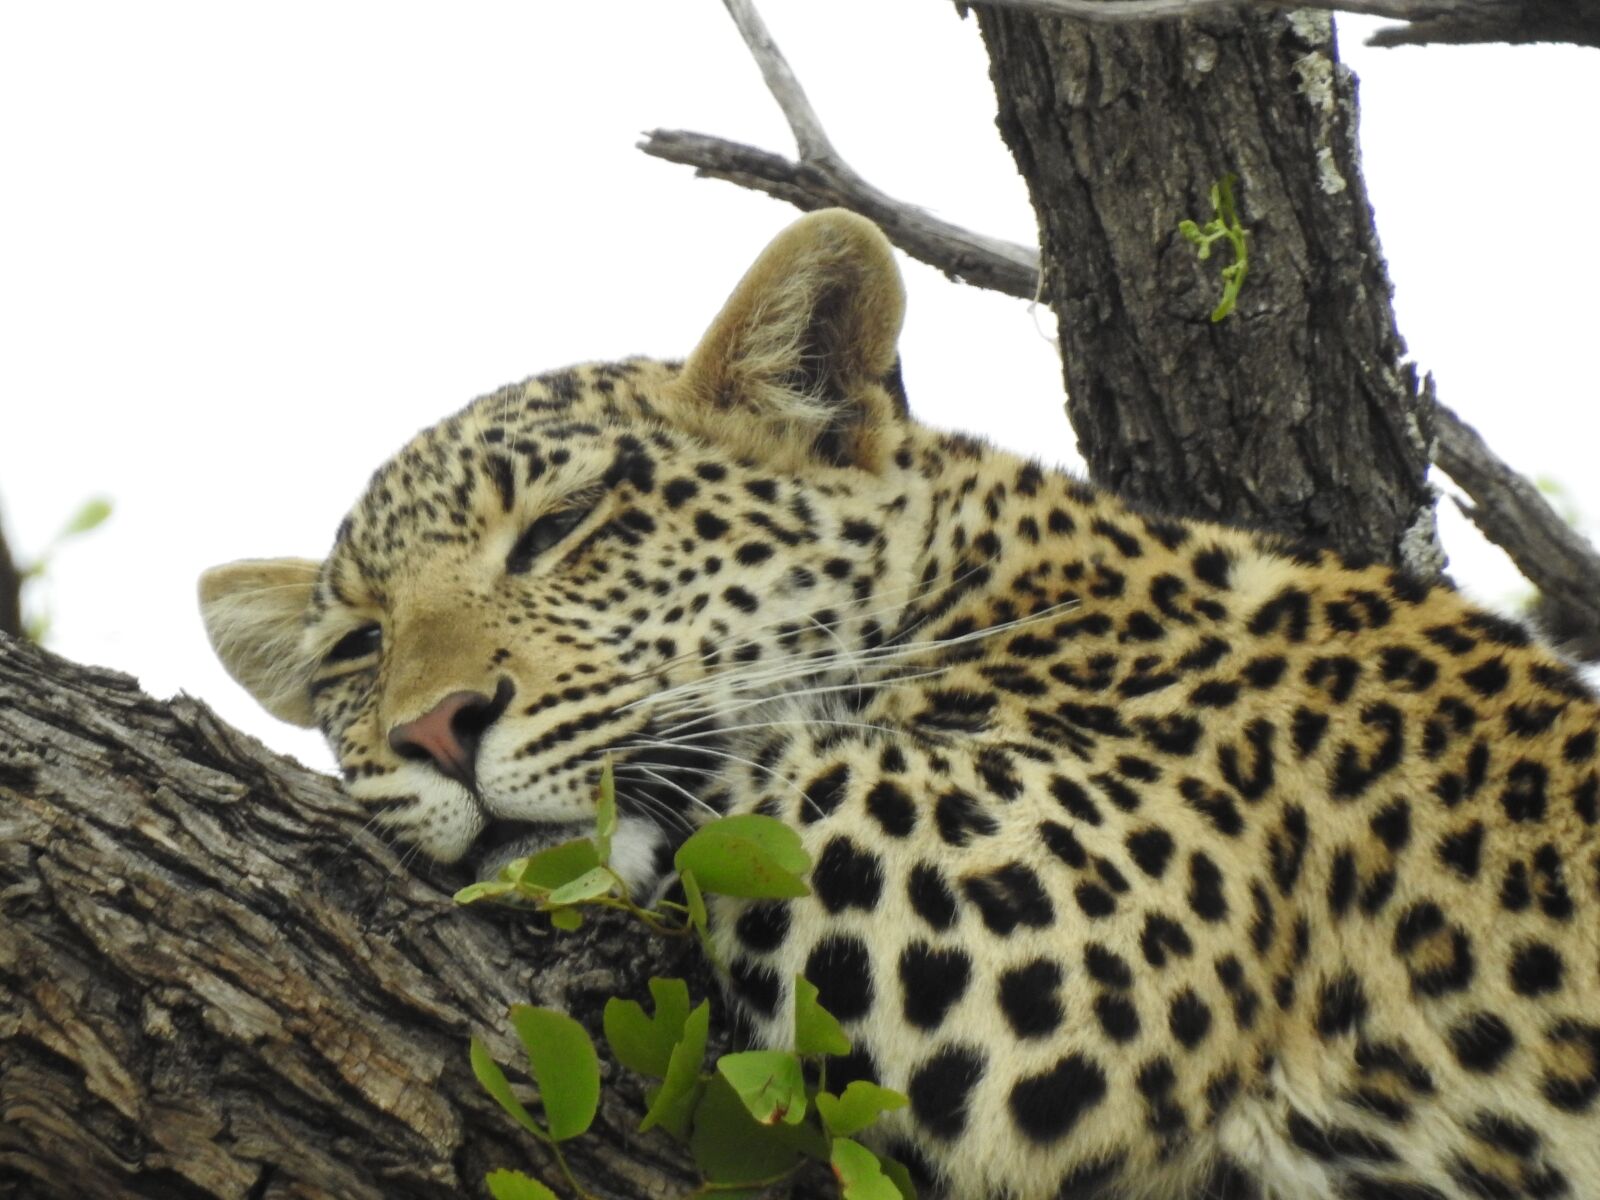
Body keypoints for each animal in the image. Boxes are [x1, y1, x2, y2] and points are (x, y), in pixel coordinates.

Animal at [201, 210, 1600, 1200]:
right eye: (357, 648)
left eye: (559, 527)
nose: (433, 730)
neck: (998, 575)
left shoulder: (1090, 918)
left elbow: (765, 776)